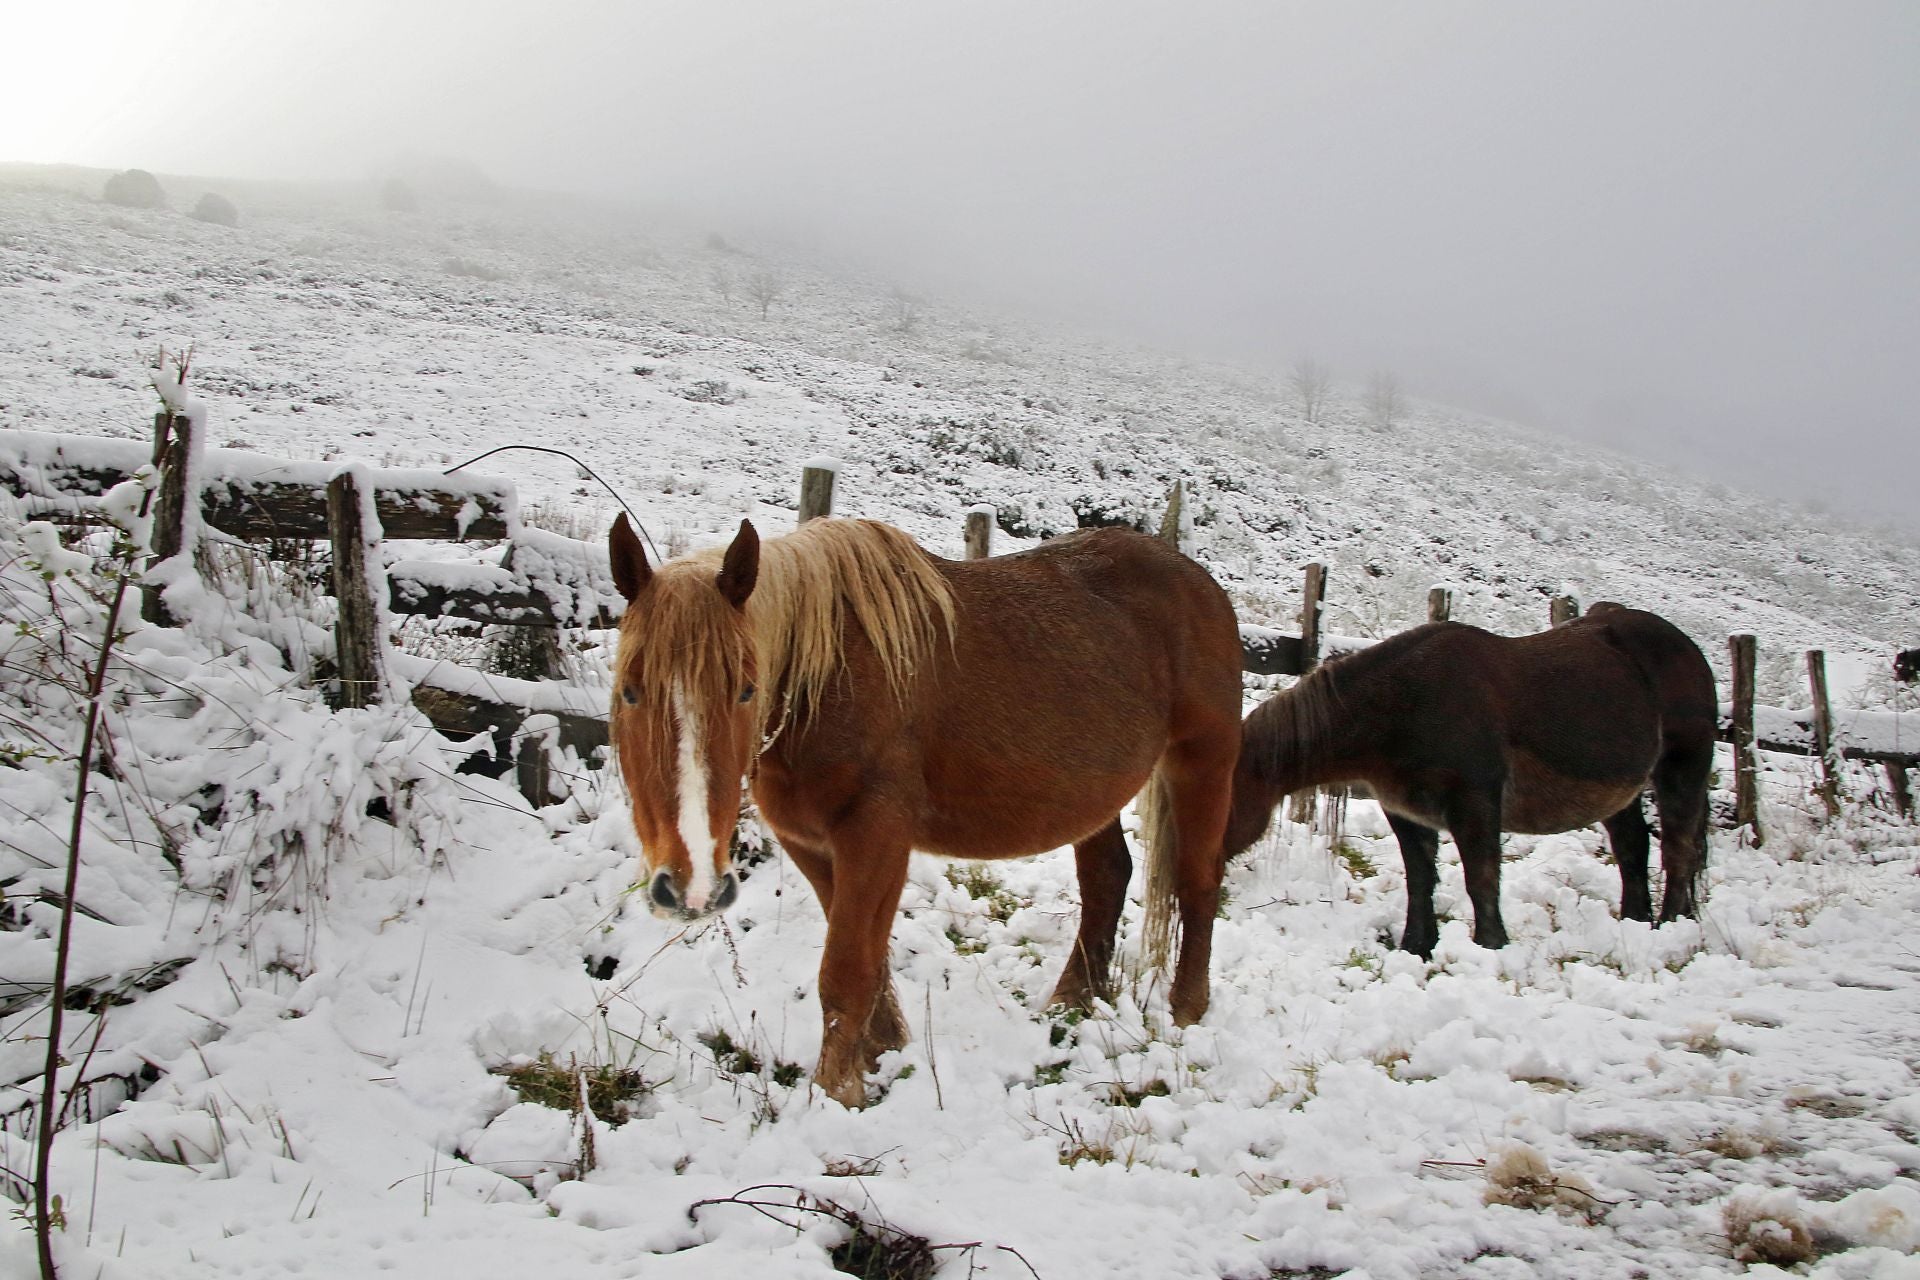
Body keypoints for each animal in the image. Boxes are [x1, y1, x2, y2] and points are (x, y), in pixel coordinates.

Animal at [602, 514, 1244, 1105]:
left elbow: (847, 968)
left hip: (1202, 762)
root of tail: (1200, 582)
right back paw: (1070, 1002)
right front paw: (883, 1052)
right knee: (1108, 877)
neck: (827, 682)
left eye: (745, 690)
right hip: (1092, 794)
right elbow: (866, 959)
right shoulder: (810, 842)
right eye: (629, 690)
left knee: (1199, 879)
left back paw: (1186, 1010)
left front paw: (837, 1093)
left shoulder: (876, 834)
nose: (692, 888)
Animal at [1228, 606, 1728, 955]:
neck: (1405, 705)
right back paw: (1636, 922)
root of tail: (1686, 647)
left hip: (1682, 767)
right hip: (1619, 790)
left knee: (1679, 846)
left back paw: (1671, 925)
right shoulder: (1406, 812)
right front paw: (1417, 947)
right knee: (1632, 847)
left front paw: (1492, 946)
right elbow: (1419, 880)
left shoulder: (1476, 804)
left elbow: (1481, 880)